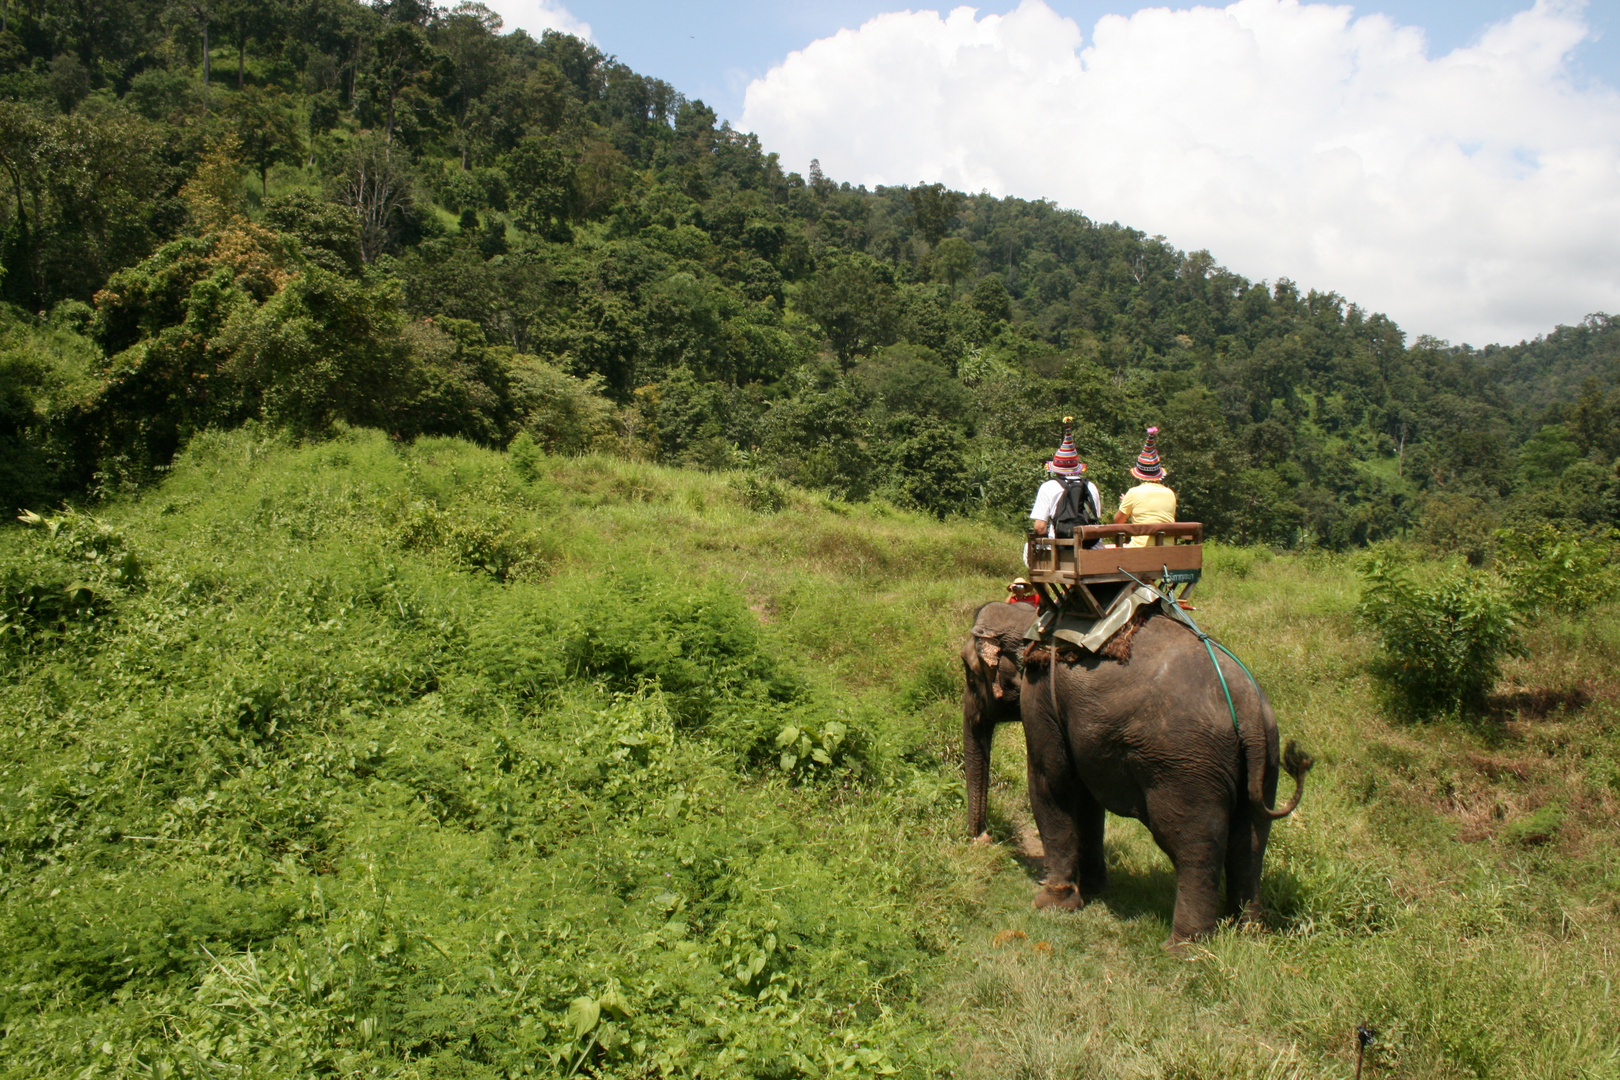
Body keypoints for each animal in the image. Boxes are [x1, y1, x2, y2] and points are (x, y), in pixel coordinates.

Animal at [1017, 612, 1308, 952]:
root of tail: (1248, 711)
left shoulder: (1040, 692)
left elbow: (1050, 782)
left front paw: (1051, 904)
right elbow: (1088, 798)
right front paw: (1093, 891)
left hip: (1187, 767)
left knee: (1192, 845)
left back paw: (1183, 949)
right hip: (1266, 761)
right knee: (1250, 843)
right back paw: (1246, 934)